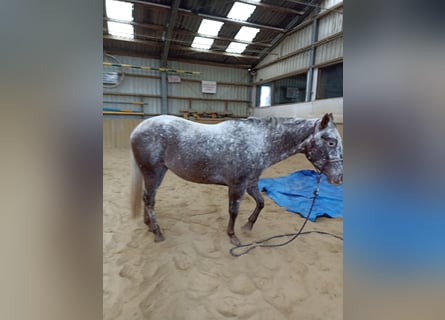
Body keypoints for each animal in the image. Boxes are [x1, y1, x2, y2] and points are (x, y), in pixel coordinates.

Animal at [129, 112, 344, 245]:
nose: (339, 178)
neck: (259, 142)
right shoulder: (238, 185)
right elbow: (233, 211)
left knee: (147, 199)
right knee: (149, 200)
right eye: (331, 142)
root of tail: (137, 129)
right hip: (153, 172)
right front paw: (233, 236)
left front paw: (248, 226)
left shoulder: (251, 184)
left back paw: (149, 225)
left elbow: (261, 203)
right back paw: (157, 232)